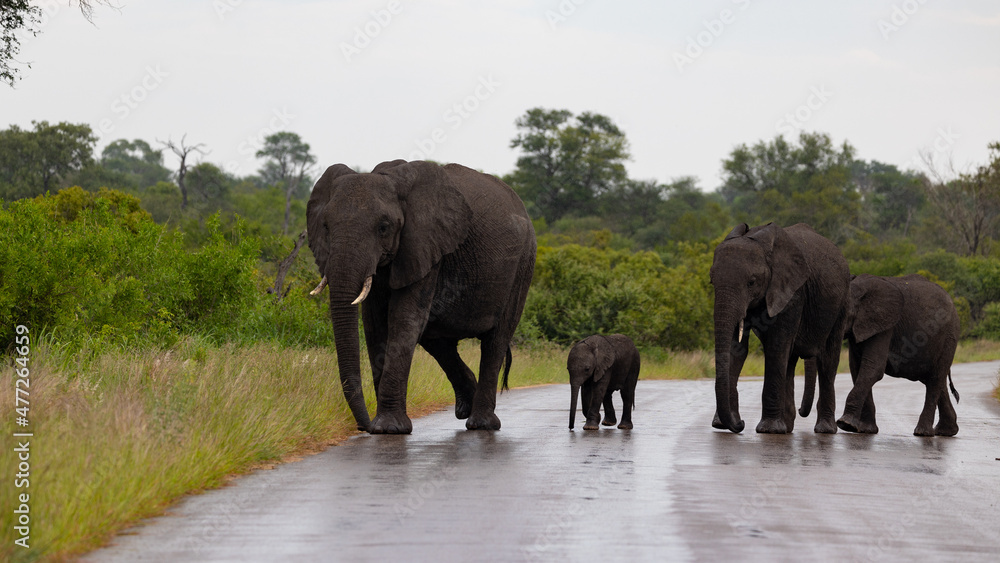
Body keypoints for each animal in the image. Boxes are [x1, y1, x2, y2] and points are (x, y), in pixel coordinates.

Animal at [306, 160, 536, 434]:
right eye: (326, 227)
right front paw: (383, 427)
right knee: (437, 340)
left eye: (383, 227)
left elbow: (404, 321)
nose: (364, 427)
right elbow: (375, 326)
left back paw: (481, 424)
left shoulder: (425, 247)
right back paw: (465, 407)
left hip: (523, 265)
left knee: (495, 341)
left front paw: (389, 428)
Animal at [710, 222, 850, 434]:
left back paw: (824, 429)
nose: (741, 424)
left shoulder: (793, 293)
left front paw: (769, 430)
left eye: (751, 282)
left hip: (841, 304)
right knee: (790, 361)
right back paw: (788, 427)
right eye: (711, 281)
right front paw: (721, 425)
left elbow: (776, 347)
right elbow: (737, 349)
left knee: (828, 360)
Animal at [833, 274, 961, 436]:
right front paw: (866, 430)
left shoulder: (885, 326)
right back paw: (946, 431)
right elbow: (857, 369)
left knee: (935, 379)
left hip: (949, 336)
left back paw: (922, 433)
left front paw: (846, 424)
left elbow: (873, 368)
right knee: (937, 381)